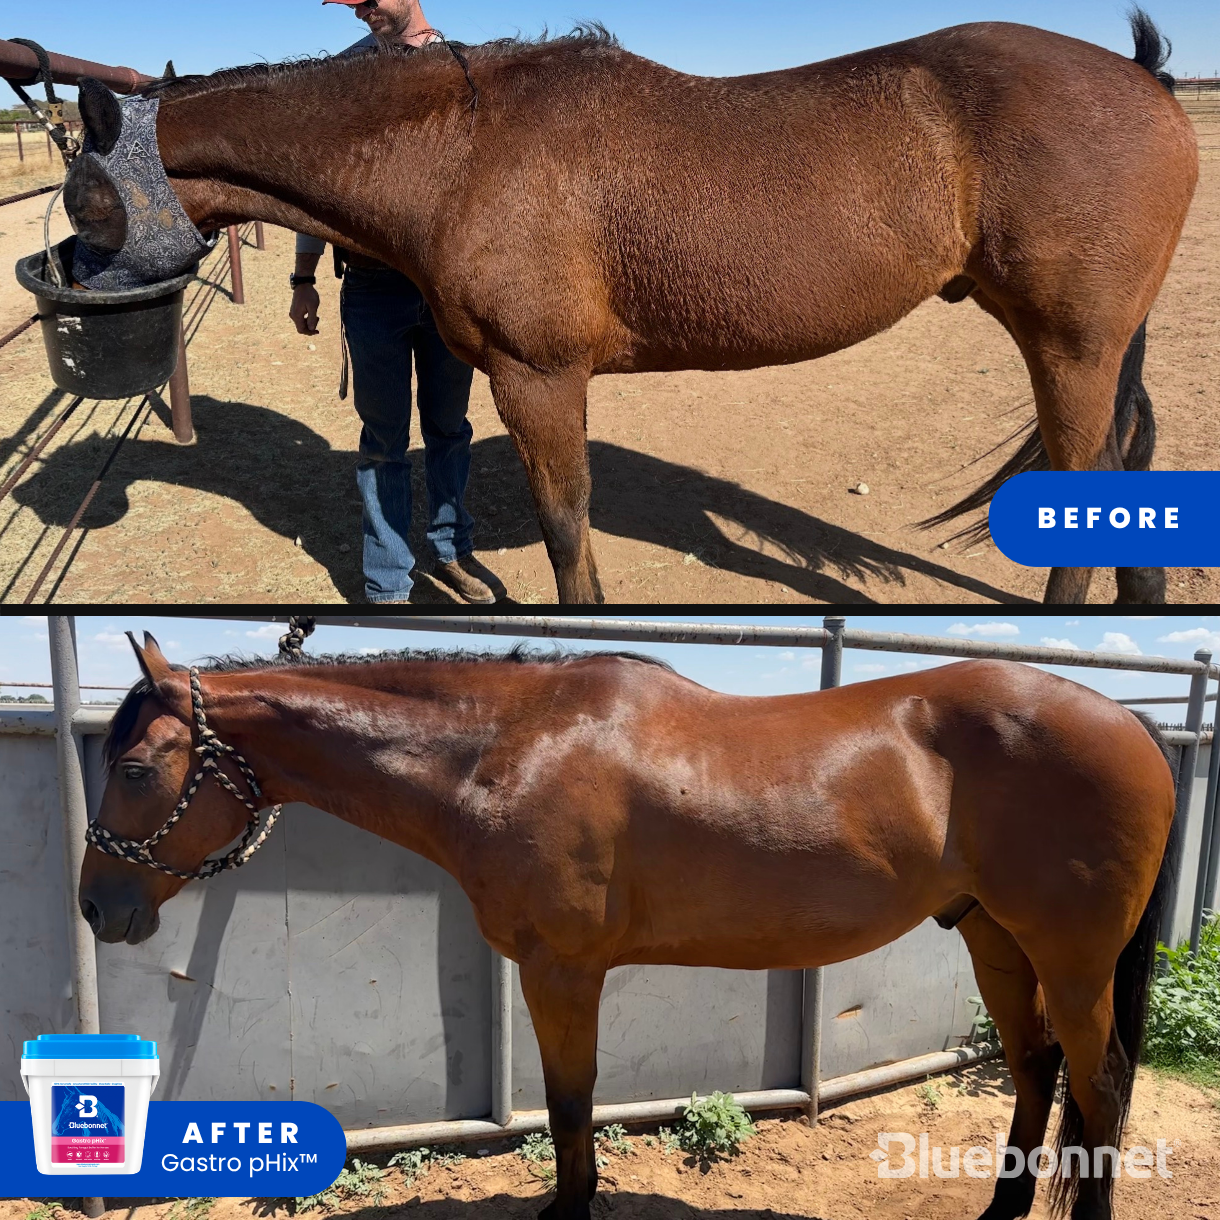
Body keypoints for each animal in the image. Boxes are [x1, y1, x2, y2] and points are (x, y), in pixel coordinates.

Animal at [59, 13, 1198, 606]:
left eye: (82, 196)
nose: (66, 299)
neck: (458, 152)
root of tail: (1143, 78)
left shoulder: (538, 376)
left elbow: (567, 527)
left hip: (1069, 343)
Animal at [80, 633, 1177, 1220]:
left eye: (133, 767)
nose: (98, 904)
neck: (506, 747)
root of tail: (1132, 723)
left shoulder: (562, 968)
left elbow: (571, 1101)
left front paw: (568, 1208)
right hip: (995, 937)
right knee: (1037, 1067)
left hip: (1071, 956)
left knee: (1098, 1081)